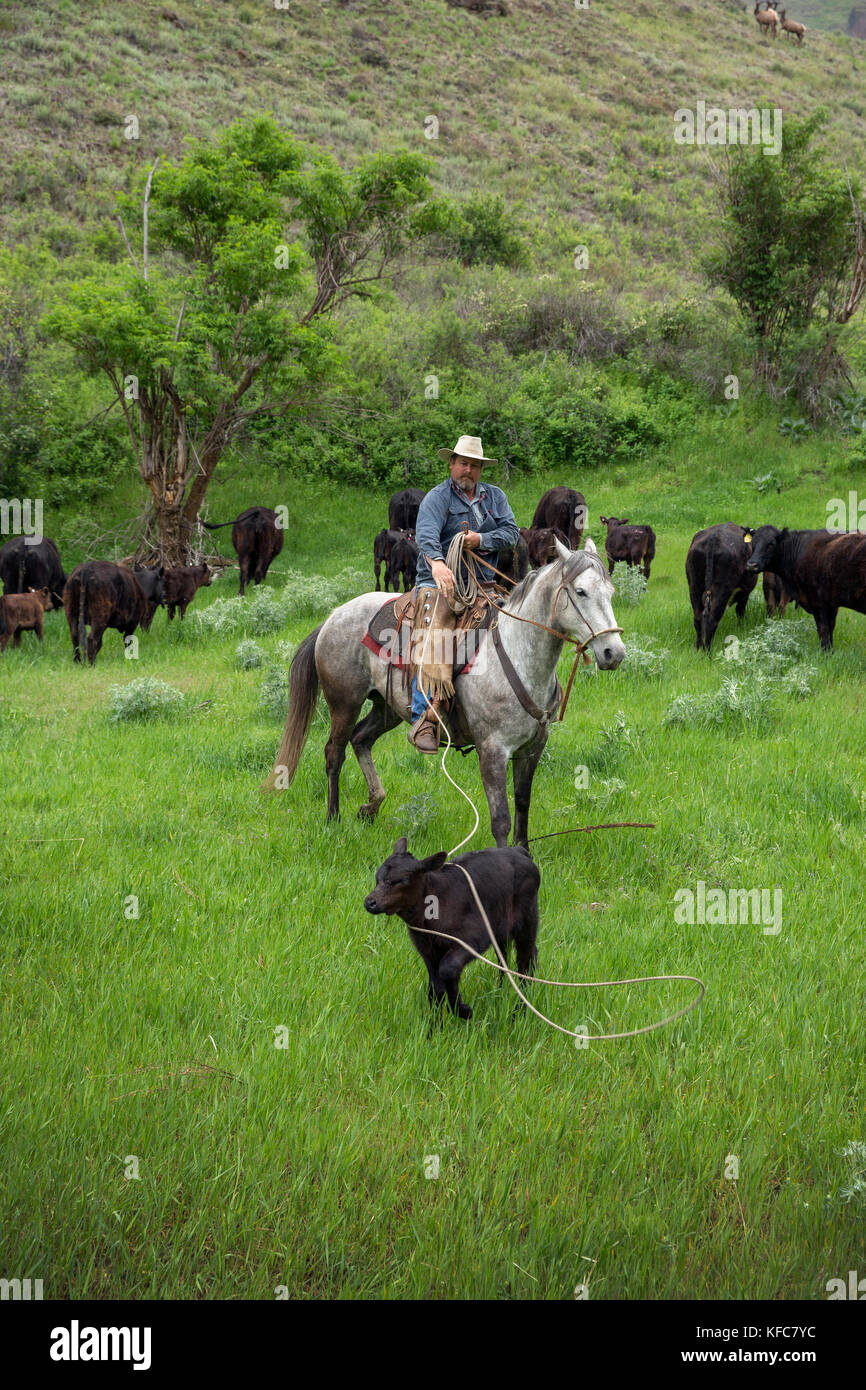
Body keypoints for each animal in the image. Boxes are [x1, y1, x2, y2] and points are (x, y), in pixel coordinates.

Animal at [264, 536, 622, 845]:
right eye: (580, 591)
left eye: (610, 591)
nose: (613, 653)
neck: (516, 655)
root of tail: (332, 616)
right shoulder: (492, 750)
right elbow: (501, 818)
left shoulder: (531, 749)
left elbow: (522, 805)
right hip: (344, 703)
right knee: (334, 752)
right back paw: (333, 818)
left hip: (387, 708)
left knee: (361, 739)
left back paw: (371, 806)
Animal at [366, 834, 542, 1023]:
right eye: (377, 878)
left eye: (400, 881)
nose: (370, 902)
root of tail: (518, 850)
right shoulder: (428, 950)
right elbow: (435, 989)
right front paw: (435, 1026)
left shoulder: (473, 939)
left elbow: (448, 969)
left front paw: (463, 1011)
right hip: (501, 928)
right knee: (507, 957)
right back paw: (500, 991)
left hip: (527, 921)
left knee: (525, 963)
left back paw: (519, 1011)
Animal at [686, 522, 756, 653]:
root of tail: (713, 538)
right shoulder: (745, 591)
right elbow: (740, 611)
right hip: (722, 589)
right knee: (712, 619)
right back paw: (707, 652)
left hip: (694, 586)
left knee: (698, 618)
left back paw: (698, 648)